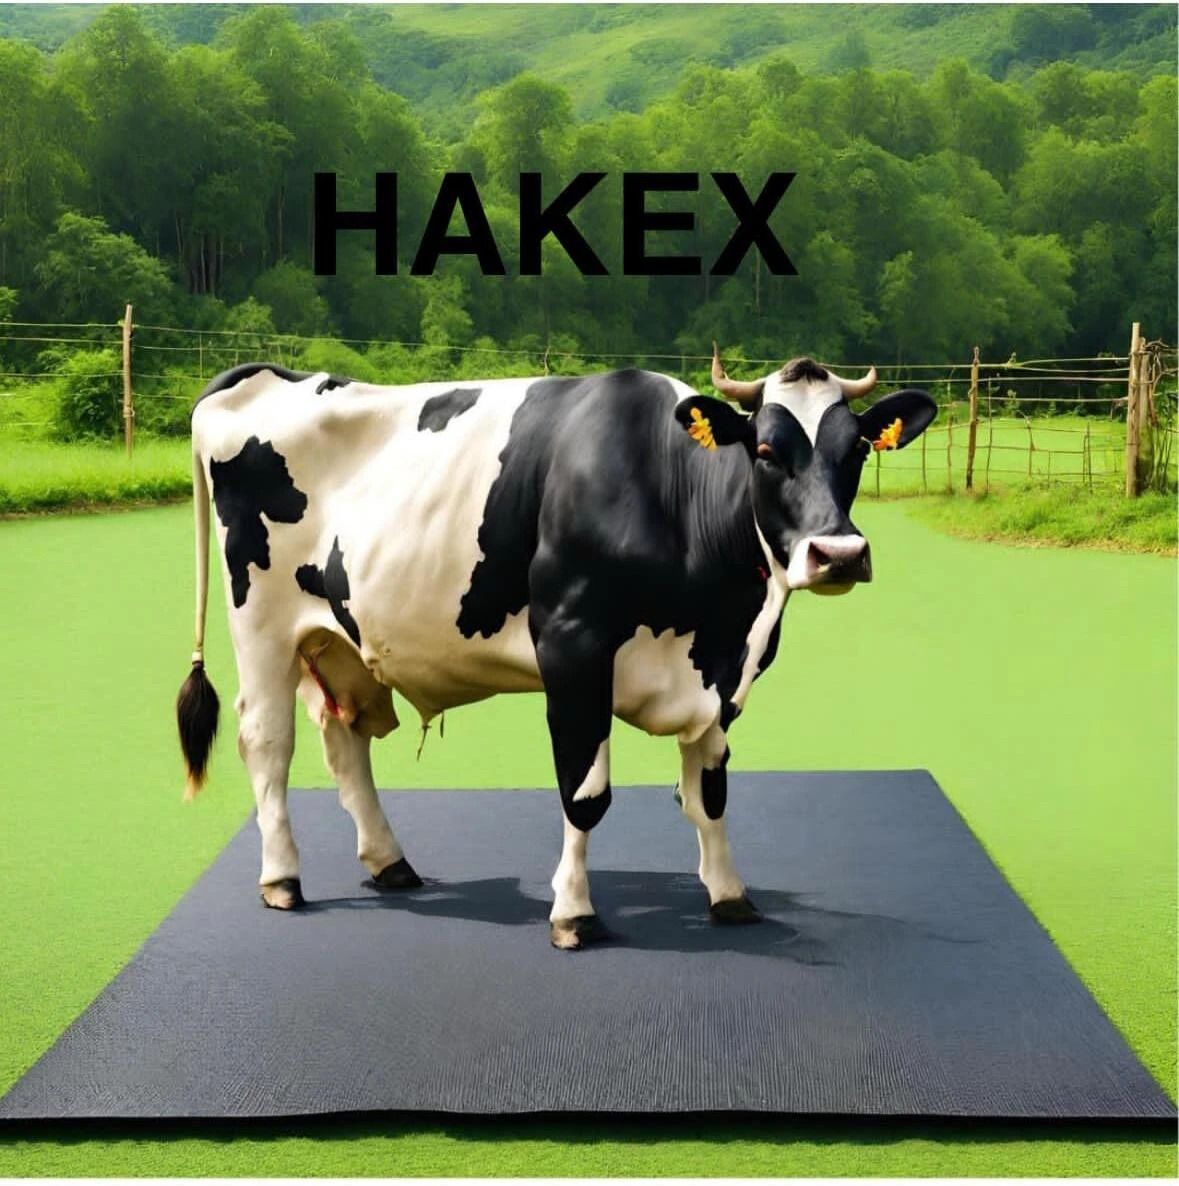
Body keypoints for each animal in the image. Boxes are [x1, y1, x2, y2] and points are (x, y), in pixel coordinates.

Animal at [176, 346, 936, 949]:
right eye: (768, 451)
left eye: (856, 451)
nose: (838, 554)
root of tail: (269, 375)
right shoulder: (573, 646)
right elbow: (585, 793)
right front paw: (573, 913)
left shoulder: (721, 678)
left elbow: (710, 794)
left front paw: (729, 895)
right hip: (261, 623)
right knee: (266, 741)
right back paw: (282, 876)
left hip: (336, 636)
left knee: (343, 739)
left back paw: (390, 862)